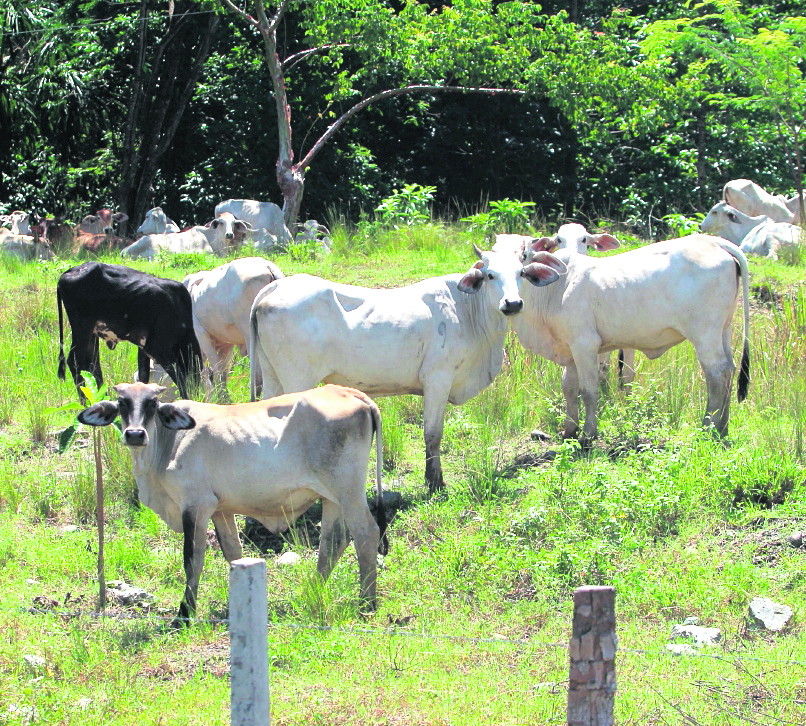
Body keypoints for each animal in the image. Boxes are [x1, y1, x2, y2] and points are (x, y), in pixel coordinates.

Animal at [55, 262, 204, 400]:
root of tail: (73, 269)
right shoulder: (157, 349)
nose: (197, 393)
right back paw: (86, 402)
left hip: (91, 333)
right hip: (82, 329)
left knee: (92, 364)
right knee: (75, 361)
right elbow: (179, 378)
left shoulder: (144, 348)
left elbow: (144, 376)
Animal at [77, 382, 390, 624]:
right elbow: (233, 554)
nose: (134, 434)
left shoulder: (196, 505)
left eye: (152, 403)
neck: (167, 444)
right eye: (122, 402)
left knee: (366, 534)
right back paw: (313, 591)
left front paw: (184, 615)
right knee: (333, 543)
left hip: (348, 491)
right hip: (331, 497)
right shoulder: (221, 511)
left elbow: (192, 559)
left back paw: (367, 604)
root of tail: (348, 391)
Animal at [248, 246, 568, 494]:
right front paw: (435, 482)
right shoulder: (438, 379)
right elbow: (433, 434)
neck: (468, 311)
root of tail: (276, 286)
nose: (512, 303)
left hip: (273, 377)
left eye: (521, 274)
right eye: (490, 275)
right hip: (297, 379)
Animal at [502, 226, 756, 444]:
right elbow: (569, 388)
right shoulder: (570, 348)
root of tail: (714, 242)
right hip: (724, 329)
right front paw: (569, 430)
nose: (510, 303)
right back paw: (723, 427)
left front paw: (588, 433)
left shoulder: (585, 344)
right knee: (730, 369)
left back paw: (708, 427)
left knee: (717, 373)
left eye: (524, 256)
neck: (556, 286)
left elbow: (588, 390)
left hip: (705, 334)